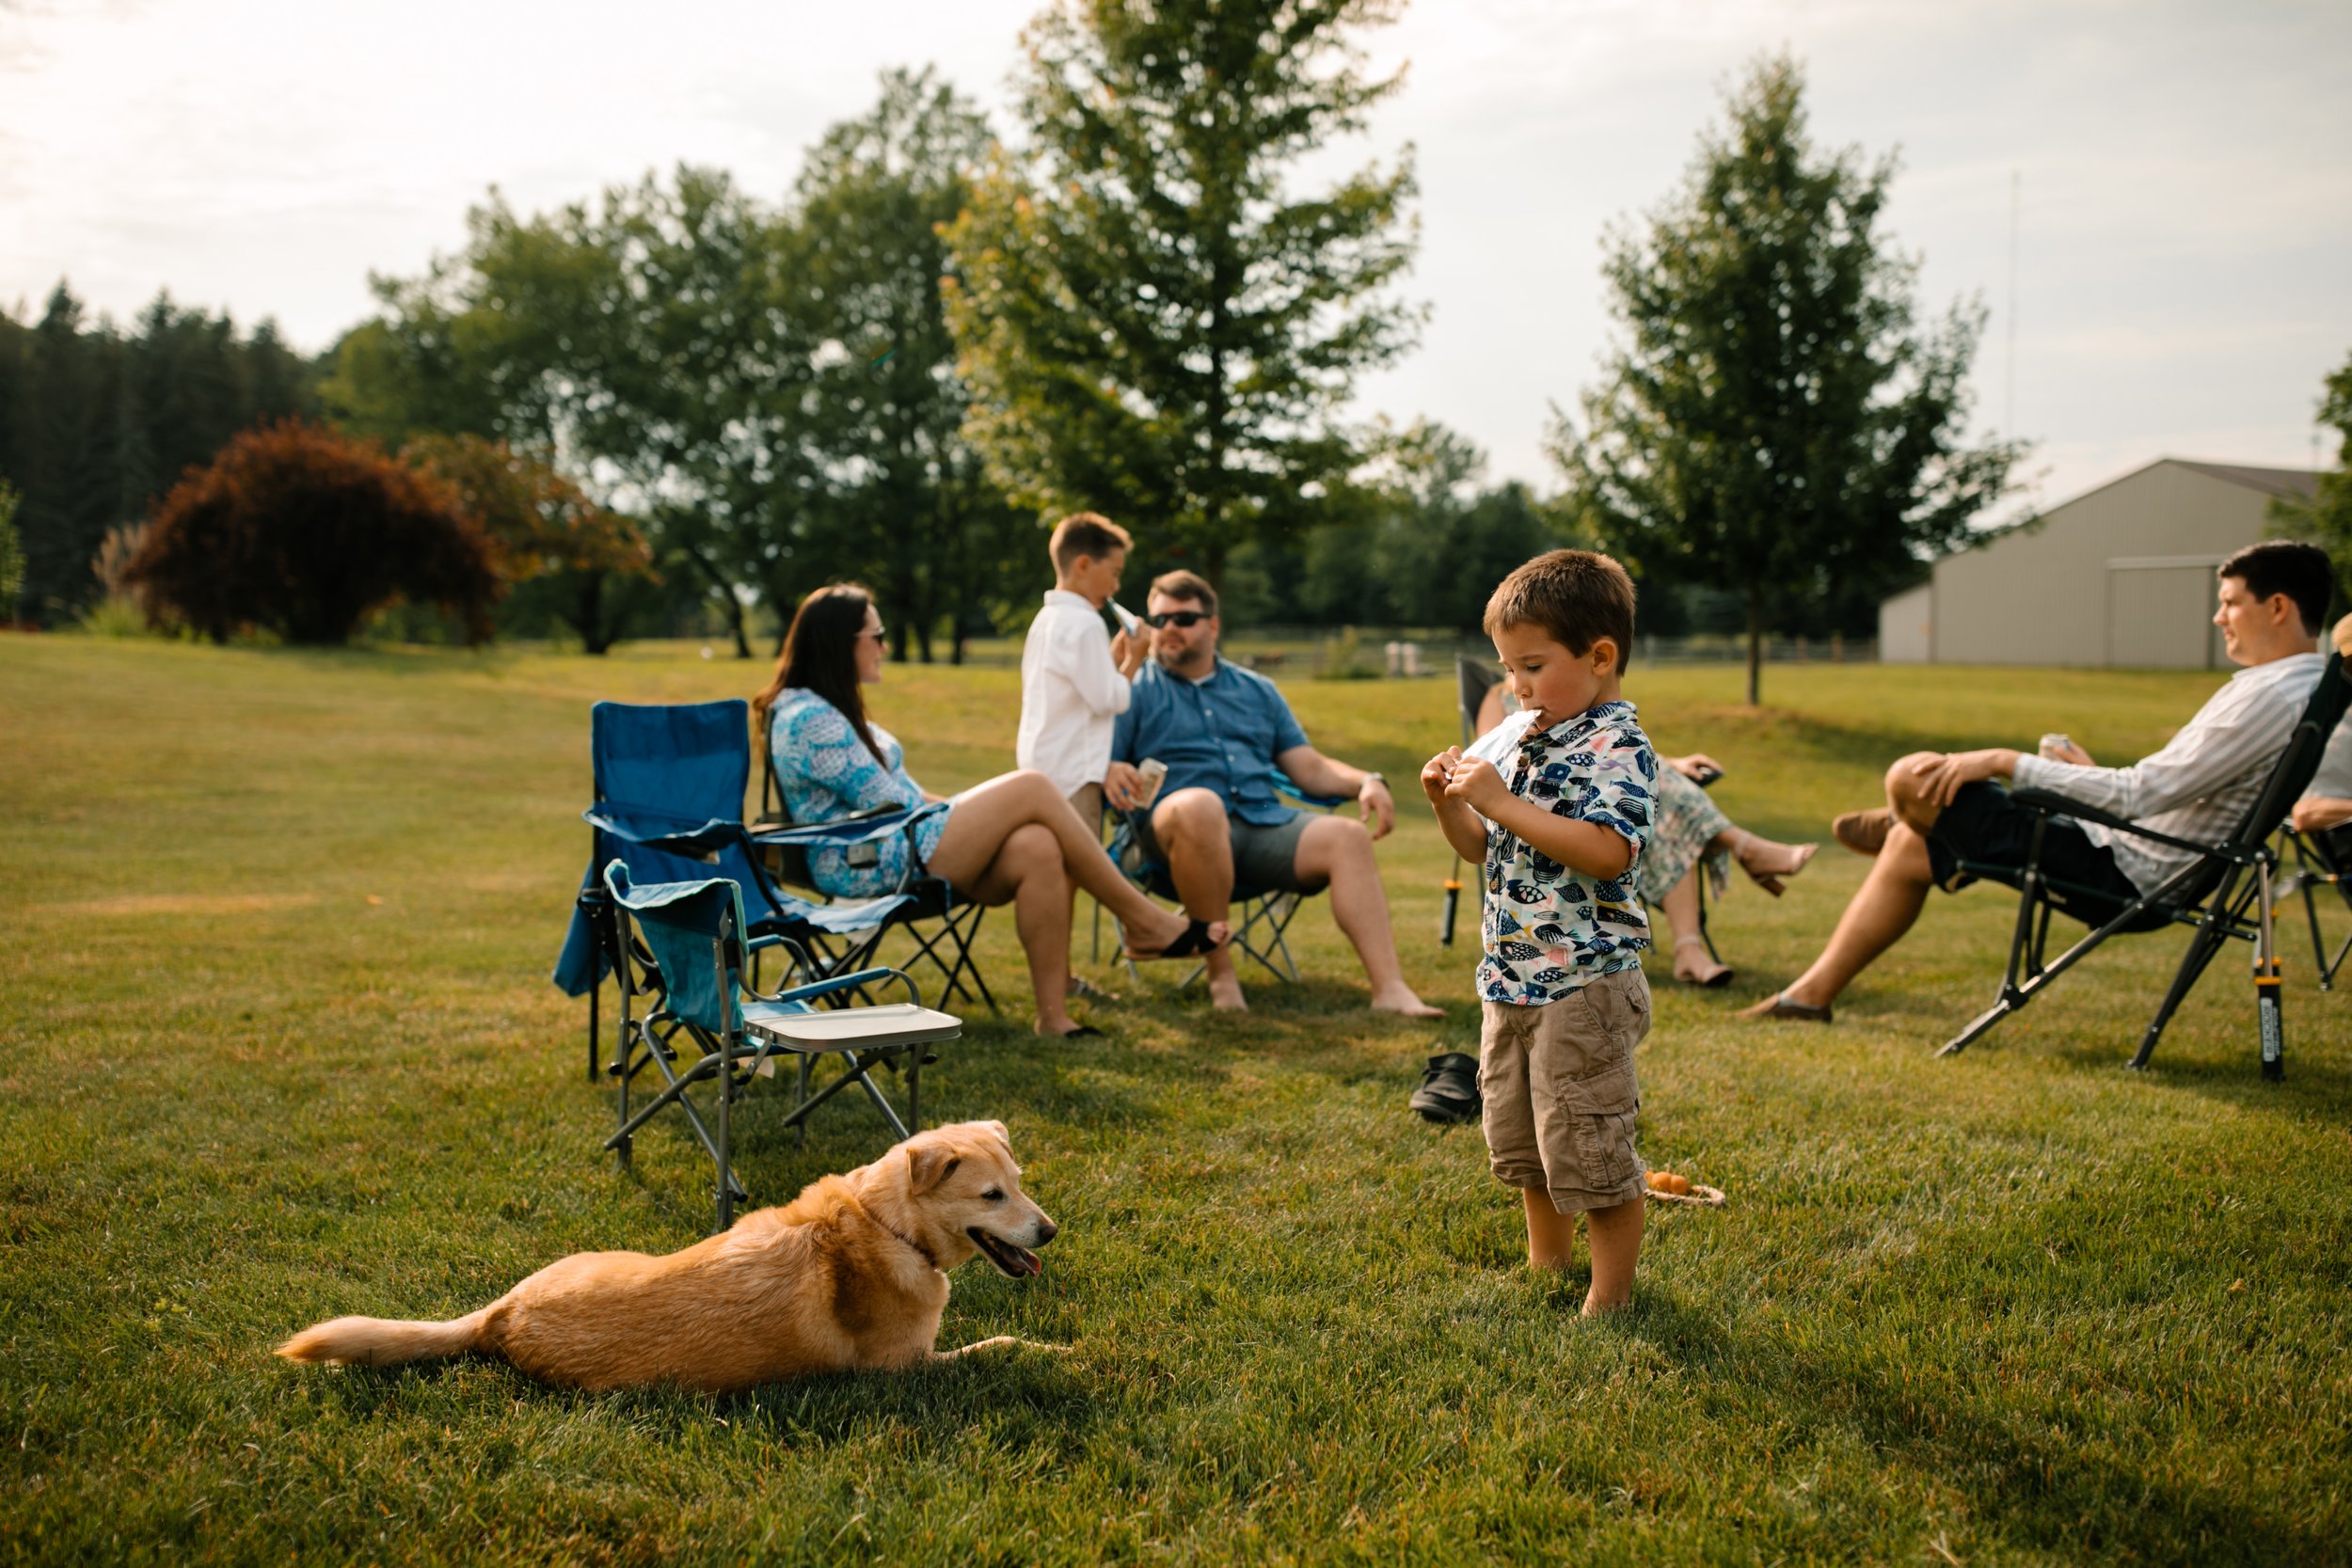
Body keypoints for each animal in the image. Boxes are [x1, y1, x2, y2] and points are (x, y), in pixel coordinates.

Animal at [270, 1123, 1063, 1391]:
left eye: (1021, 1181)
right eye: (992, 1195)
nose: (1051, 1231)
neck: (884, 1221)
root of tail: (501, 1314)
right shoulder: (905, 1369)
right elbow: (1000, 1344)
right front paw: (1053, 1348)